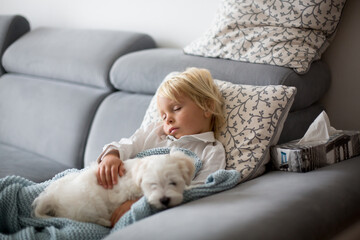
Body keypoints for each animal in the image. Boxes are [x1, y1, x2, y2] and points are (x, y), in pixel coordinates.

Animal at [33, 150, 194, 227]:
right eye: (152, 185)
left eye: (173, 183)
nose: (165, 200)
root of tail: (51, 197)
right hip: (87, 205)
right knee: (86, 217)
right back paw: (104, 221)